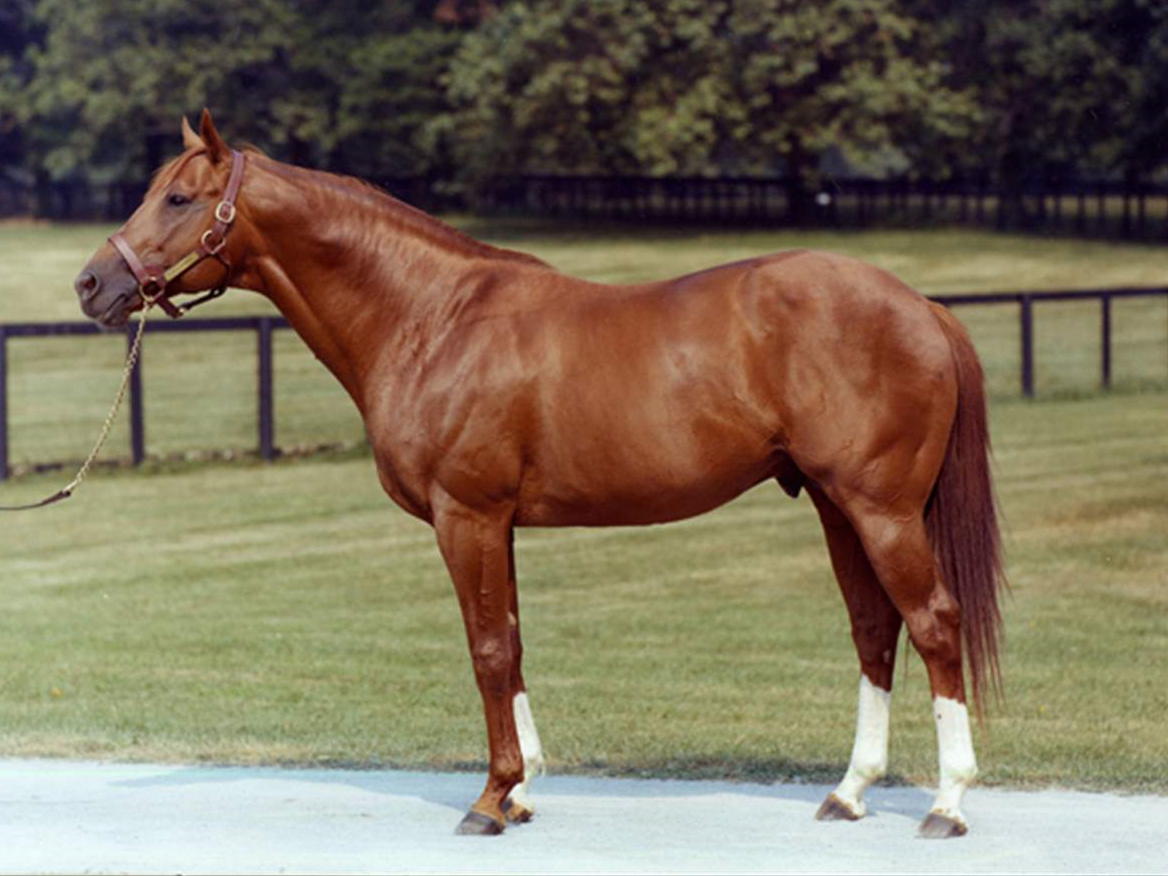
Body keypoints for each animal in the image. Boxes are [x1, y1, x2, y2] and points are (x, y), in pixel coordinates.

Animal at [74, 110, 1005, 839]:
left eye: (179, 199)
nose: (91, 283)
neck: (430, 316)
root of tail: (922, 307)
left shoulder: (468, 516)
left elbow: (487, 649)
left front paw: (490, 801)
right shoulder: (499, 524)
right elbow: (513, 641)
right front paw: (521, 792)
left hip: (881, 509)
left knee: (932, 622)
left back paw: (948, 805)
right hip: (836, 506)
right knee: (874, 629)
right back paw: (849, 793)